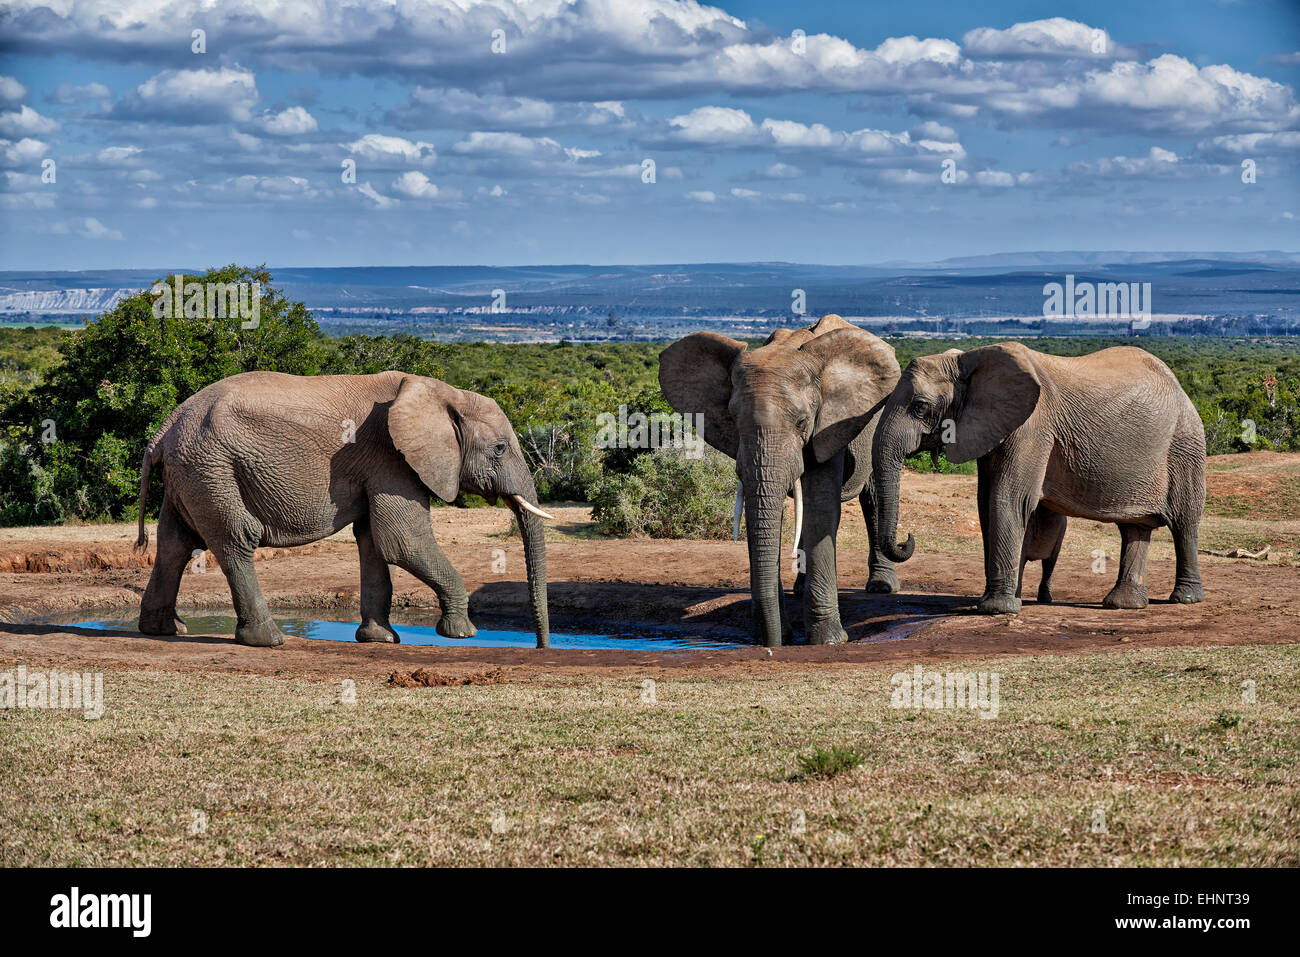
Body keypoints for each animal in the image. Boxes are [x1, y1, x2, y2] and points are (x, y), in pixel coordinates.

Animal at [133, 369, 553, 647]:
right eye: (499, 449)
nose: (540, 646)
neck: (440, 392)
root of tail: (162, 432)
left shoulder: (379, 465)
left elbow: (374, 541)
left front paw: (380, 639)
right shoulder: (390, 458)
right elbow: (404, 541)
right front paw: (462, 633)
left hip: (190, 473)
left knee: (174, 545)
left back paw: (165, 631)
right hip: (212, 468)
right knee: (236, 539)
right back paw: (268, 639)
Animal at [665, 310, 899, 647]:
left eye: (802, 421)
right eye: (732, 420)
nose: (773, 644)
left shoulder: (830, 422)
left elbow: (820, 507)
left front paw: (829, 640)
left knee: (871, 496)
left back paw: (881, 586)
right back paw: (799, 589)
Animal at [873, 343, 1206, 613]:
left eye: (920, 407)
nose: (907, 538)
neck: (968, 360)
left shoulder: (1033, 426)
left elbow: (1008, 498)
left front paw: (997, 609)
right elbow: (985, 503)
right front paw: (1002, 600)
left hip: (1185, 445)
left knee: (1185, 523)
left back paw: (1185, 599)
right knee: (1134, 527)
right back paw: (1124, 604)